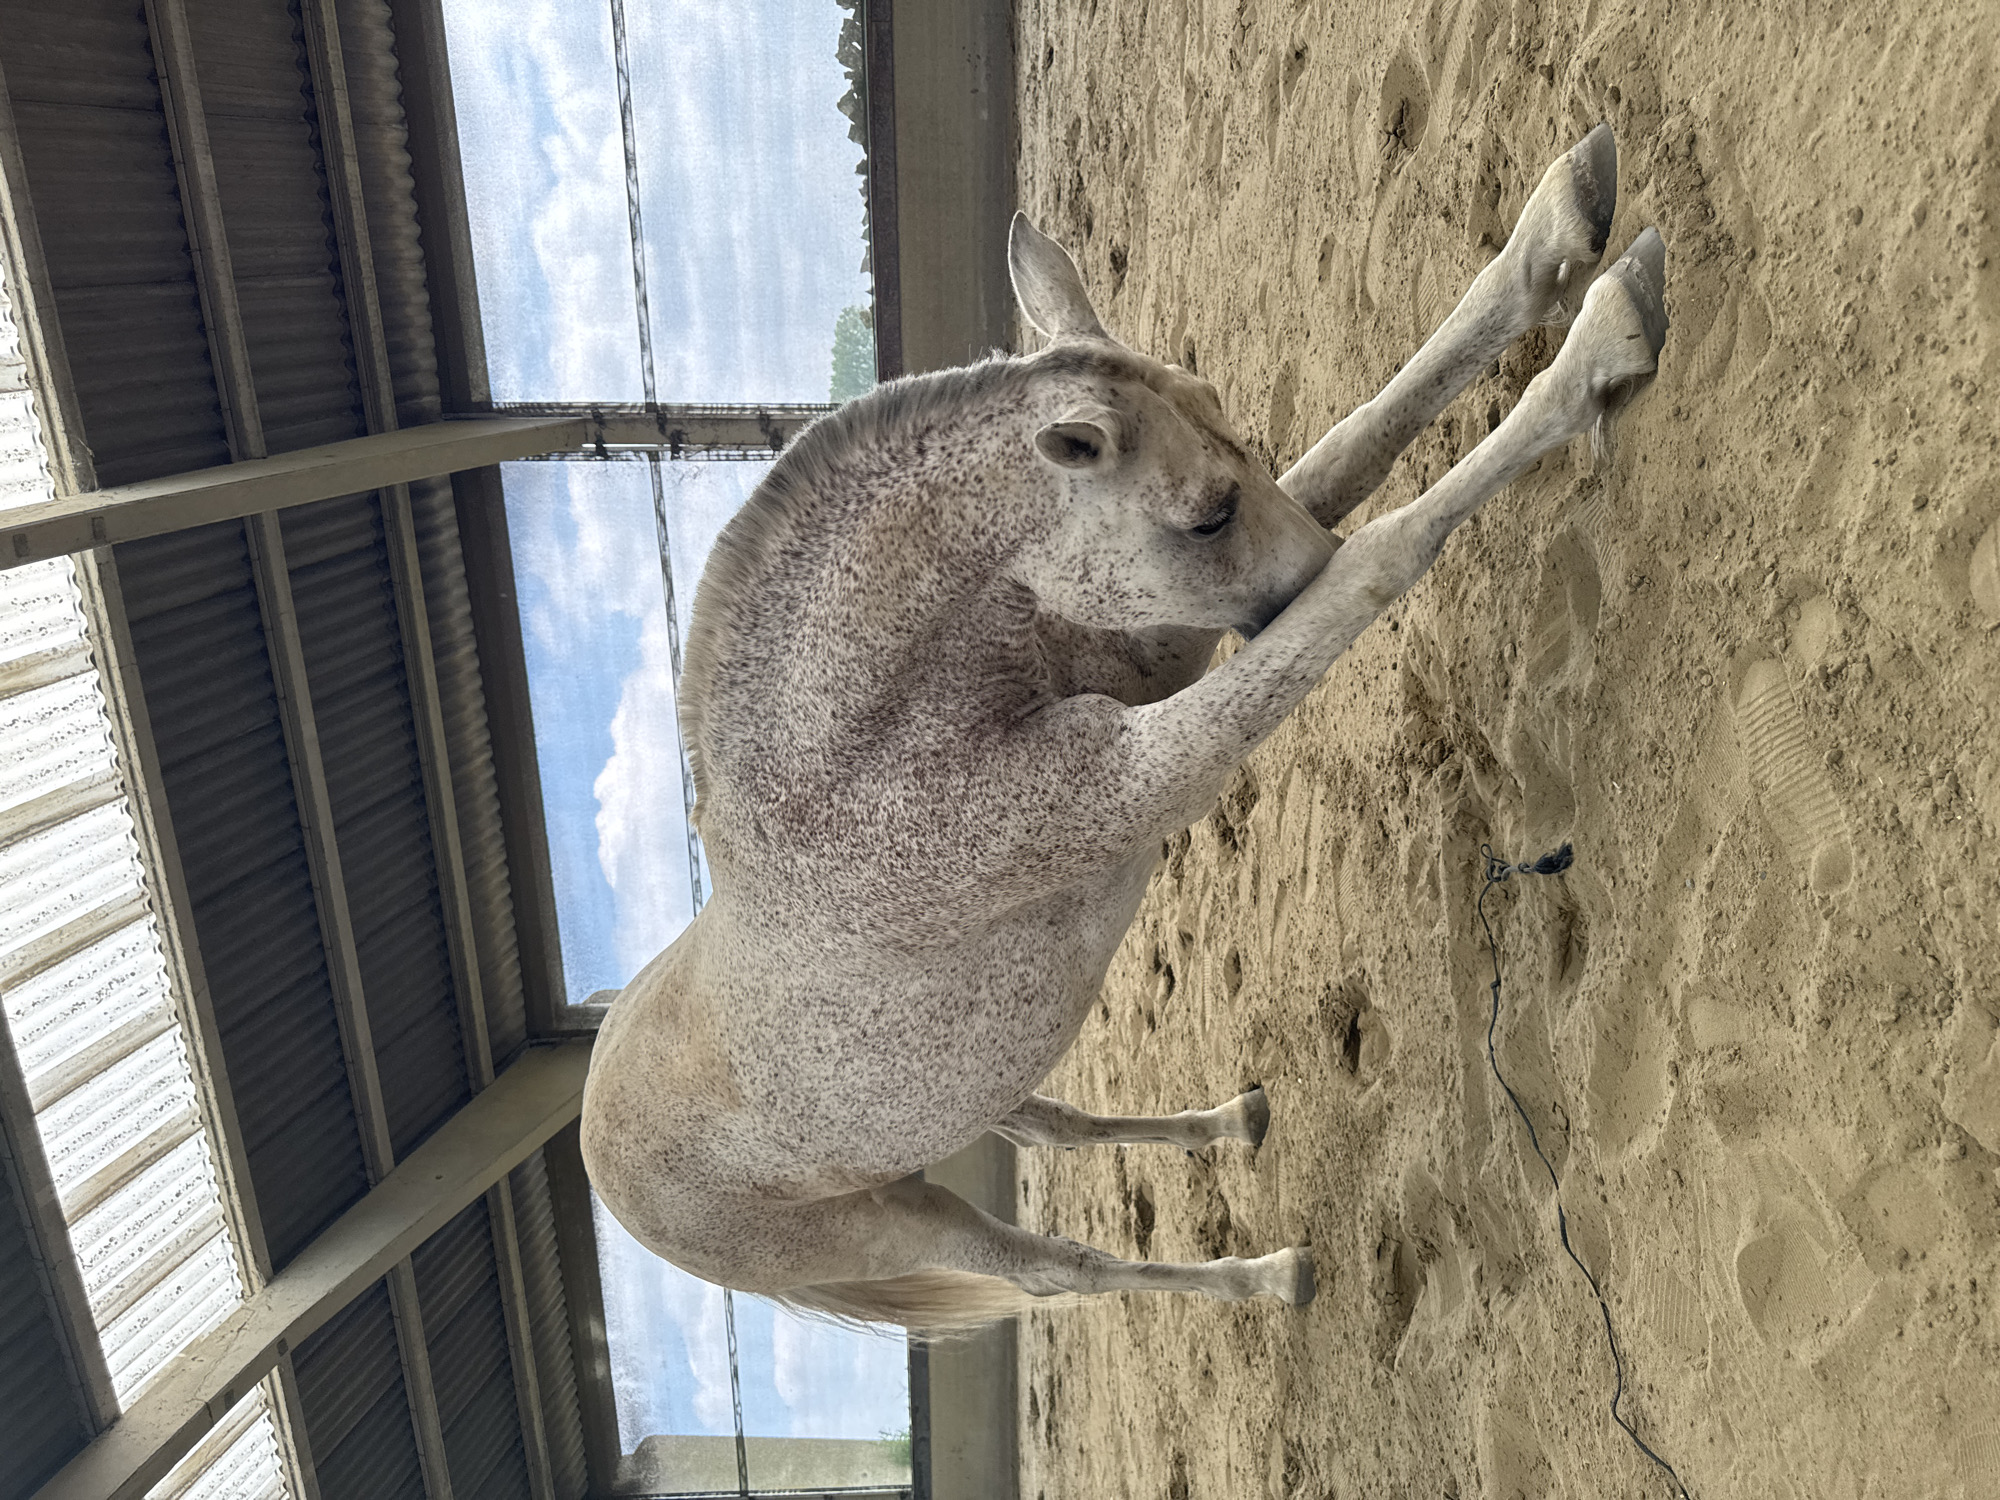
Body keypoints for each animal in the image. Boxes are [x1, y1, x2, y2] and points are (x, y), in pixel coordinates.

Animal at [580, 123, 1667, 1332]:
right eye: (1204, 514)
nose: (1290, 583)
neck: (857, 774)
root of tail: (604, 1170)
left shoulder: (1152, 648)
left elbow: (1363, 437)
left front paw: (1560, 232)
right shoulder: (1145, 771)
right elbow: (1383, 551)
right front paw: (1599, 347)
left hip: (976, 1108)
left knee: (1061, 1125)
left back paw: (1232, 1123)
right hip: (895, 1223)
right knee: (1062, 1271)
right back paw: (1264, 1277)